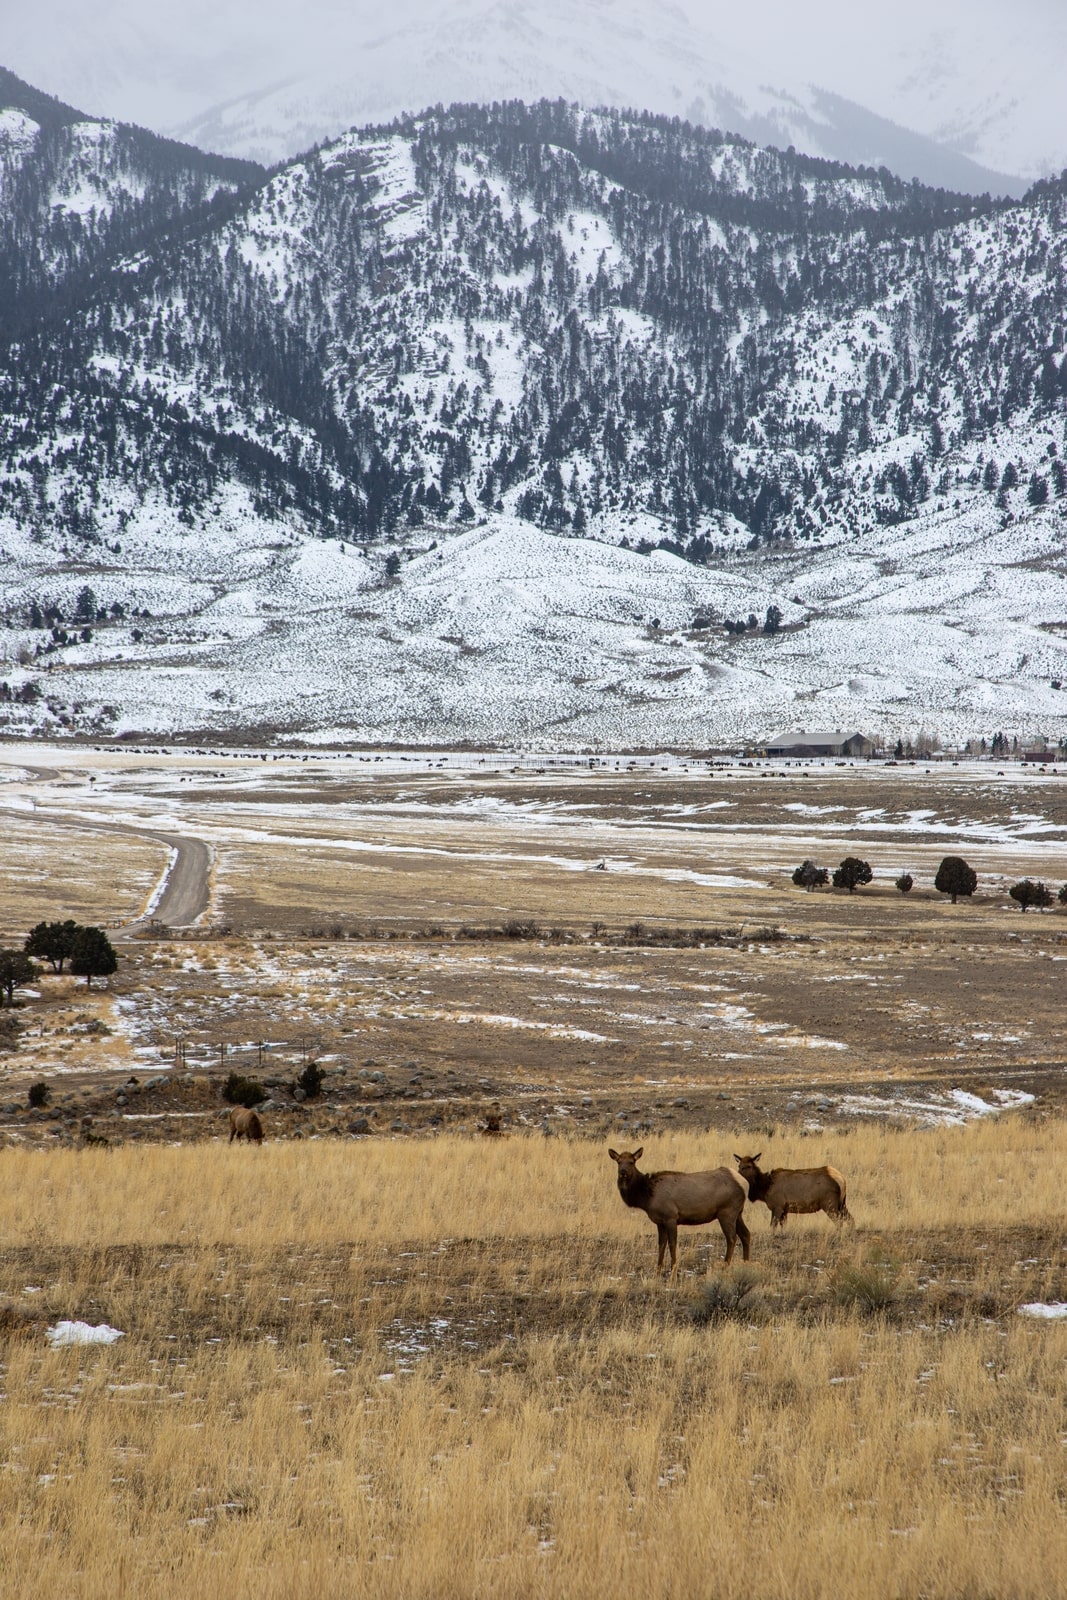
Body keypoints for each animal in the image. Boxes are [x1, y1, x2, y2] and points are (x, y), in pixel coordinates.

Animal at [609, 1147, 751, 1273]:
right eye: (619, 1161)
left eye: (631, 1162)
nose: (623, 1172)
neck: (647, 1197)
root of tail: (744, 1183)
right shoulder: (660, 1222)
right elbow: (661, 1244)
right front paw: (658, 1270)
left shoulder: (671, 1217)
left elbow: (672, 1244)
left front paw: (673, 1270)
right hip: (738, 1213)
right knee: (746, 1234)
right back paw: (745, 1263)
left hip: (727, 1212)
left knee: (732, 1238)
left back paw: (725, 1266)